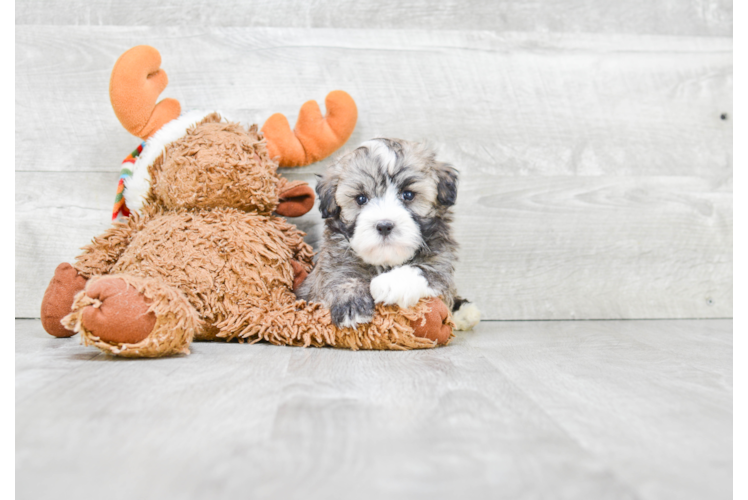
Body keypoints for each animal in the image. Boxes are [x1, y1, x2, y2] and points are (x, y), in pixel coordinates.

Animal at [296, 138, 480, 332]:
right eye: (361, 199)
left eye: (408, 194)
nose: (384, 226)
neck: (385, 261)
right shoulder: (332, 261)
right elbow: (340, 276)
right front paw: (351, 305)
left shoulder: (441, 263)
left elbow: (425, 271)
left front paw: (387, 284)